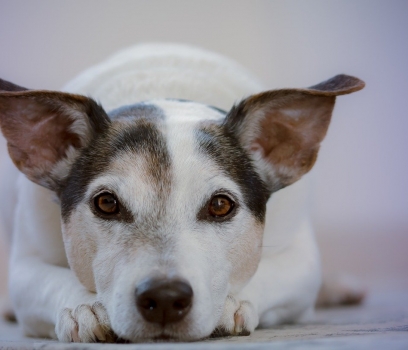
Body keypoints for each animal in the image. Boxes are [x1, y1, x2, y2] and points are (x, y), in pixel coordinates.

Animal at [0, 43, 364, 342]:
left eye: (221, 205)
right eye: (106, 203)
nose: (164, 297)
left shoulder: (301, 261)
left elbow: (268, 274)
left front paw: (230, 303)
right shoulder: (25, 265)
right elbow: (48, 281)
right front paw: (84, 307)